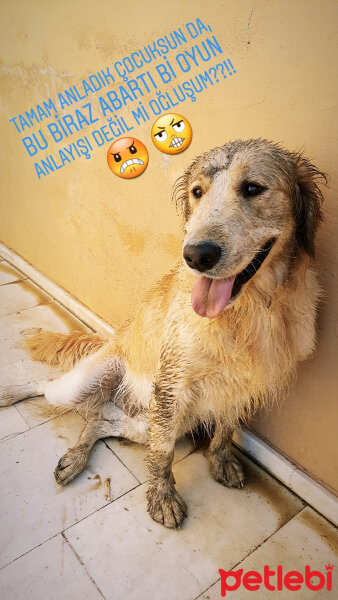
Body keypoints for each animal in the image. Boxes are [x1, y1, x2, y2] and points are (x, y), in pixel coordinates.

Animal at [28, 138, 324, 528]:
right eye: (197, 192)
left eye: (252, 188)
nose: (196, 255)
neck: (249, 310)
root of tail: (113, 340)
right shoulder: (172, 385)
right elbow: (163, 455)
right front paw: (163, 497)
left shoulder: (242, 382)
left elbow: (226, 425)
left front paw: (220, 460)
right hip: (88, 389)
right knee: (47, 388)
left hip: (149, 421)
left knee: (97, 420)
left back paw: (76, 456)